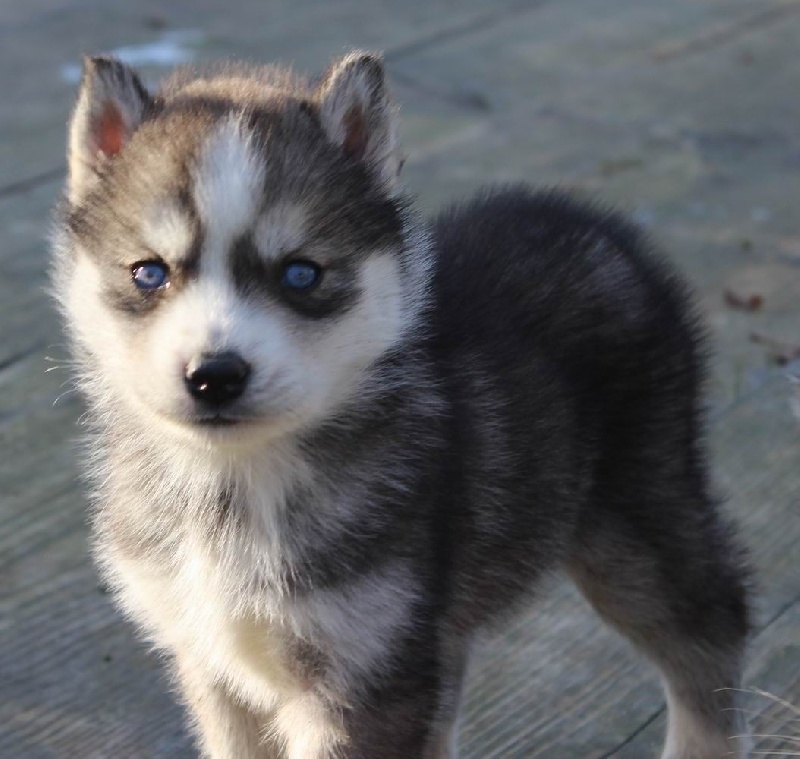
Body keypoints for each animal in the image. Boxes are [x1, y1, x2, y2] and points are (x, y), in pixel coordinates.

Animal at [54, 50, 752, 756]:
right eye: (149, 272)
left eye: (301, 274)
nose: (214, 376)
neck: (232, 483)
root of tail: (592, 223)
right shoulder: (213, 662)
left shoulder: (367, 669)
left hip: (633, 521)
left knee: (714, 626)